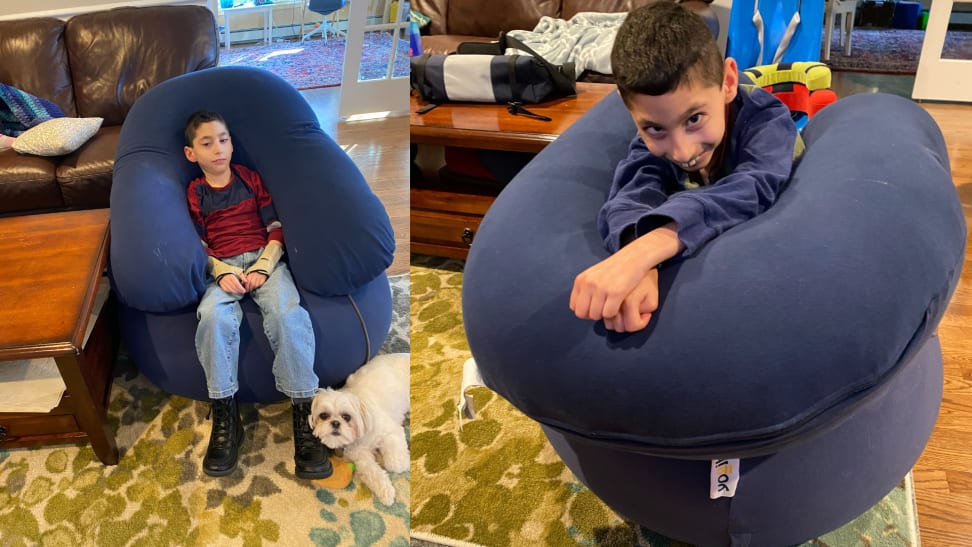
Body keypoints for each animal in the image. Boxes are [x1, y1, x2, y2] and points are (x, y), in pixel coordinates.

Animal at [308, 354, 406, 508]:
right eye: (323, 415)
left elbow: (394, 459)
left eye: (346, 417)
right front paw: (385, 491)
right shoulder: (360, 455)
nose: (335, 423)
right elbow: (372, 471)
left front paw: (398, 463)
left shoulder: (390, 430)